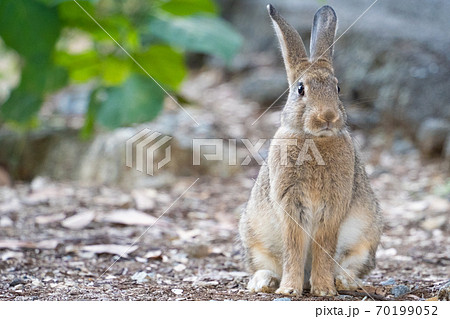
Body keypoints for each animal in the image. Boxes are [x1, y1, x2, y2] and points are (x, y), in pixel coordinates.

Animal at [239, 4, 384, 298]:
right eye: (300, 89)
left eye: (337, 88)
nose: (327, 117)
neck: (315, 139)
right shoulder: (290, 202)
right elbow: (294, 246)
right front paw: (289, 290)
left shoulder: (334, 204)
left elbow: (323, 246)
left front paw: (324, 290)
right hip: (254, 238)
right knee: (264, 264)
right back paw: (266, 282)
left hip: (366, 239)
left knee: (351, 263)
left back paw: (344, 281)